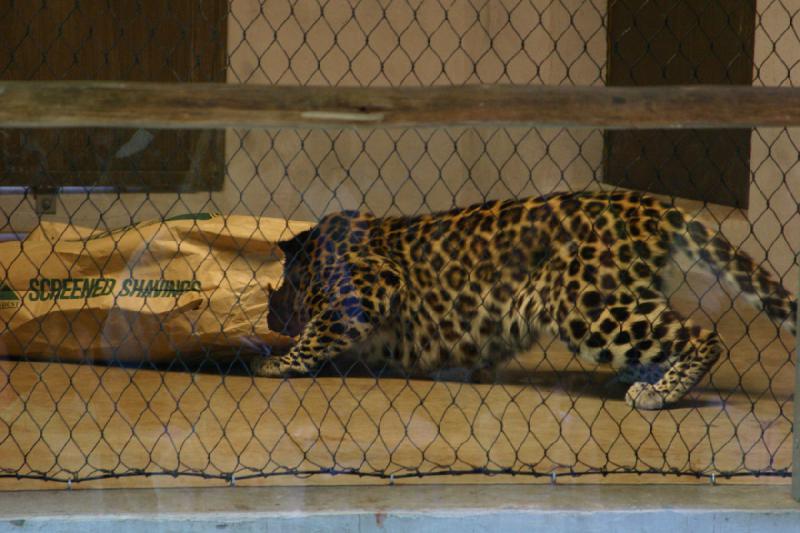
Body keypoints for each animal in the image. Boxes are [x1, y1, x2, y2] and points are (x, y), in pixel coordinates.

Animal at [252, 189, 792, 410]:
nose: (273, 316)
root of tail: (649, 205)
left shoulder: (371, 284)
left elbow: (319, 330)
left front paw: (279, 363)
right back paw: (648, 378)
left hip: (586, 305)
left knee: (702, 335)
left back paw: (659, 393)